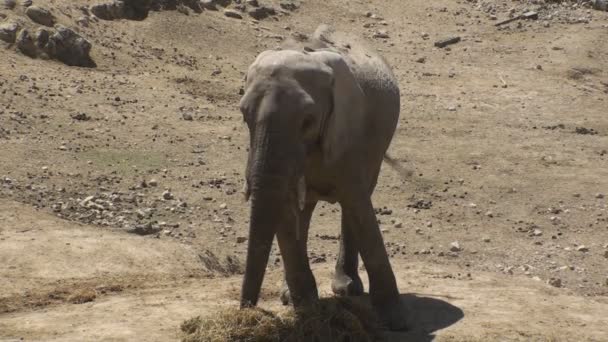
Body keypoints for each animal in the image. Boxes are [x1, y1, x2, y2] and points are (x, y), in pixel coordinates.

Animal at [239, 24, 408, 332]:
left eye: (308, 120)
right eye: (245, 116)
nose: (246, 310)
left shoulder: (349, 132)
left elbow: (358, 205)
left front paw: (397, 321)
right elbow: (286, 211)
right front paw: (307, 310)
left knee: (355, 202)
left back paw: (346, 288)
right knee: (305, 210)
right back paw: (289, 295)